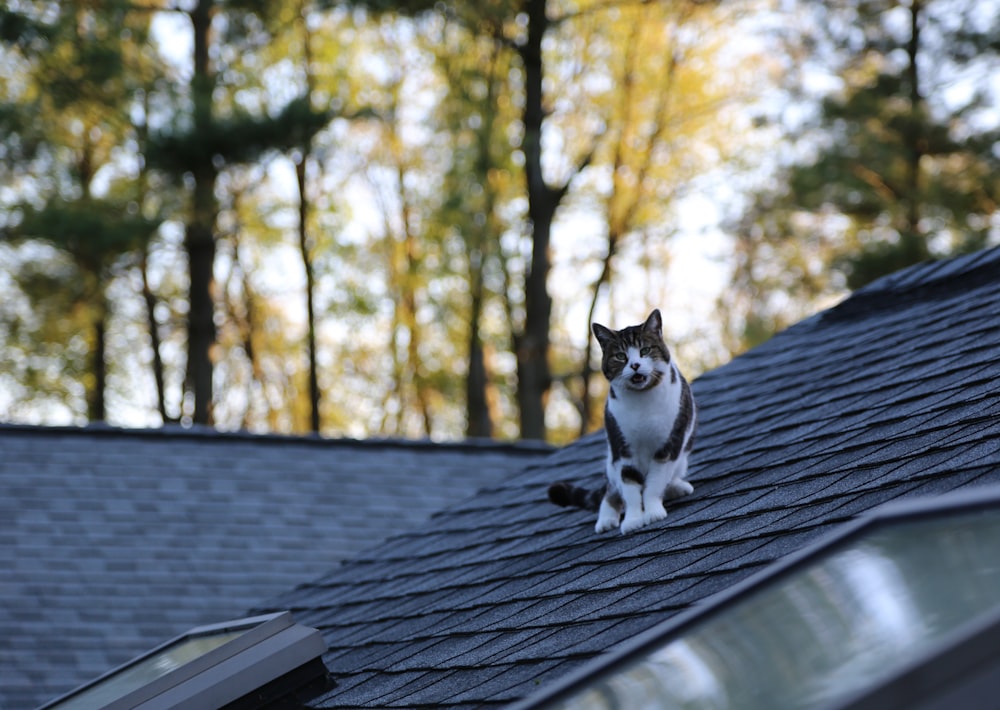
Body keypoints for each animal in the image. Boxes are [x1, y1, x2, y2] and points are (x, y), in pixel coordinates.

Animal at [548, 308, 696, 536]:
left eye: (645, 350)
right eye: (620, 356)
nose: (634, 365)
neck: (642, 401)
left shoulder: (669, 444)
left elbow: (655, 483)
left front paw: (653, 512)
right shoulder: (621, 448)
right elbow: (630, 486)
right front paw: (633, 520)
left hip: (681, 458)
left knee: (668, 477)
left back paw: (678, 488)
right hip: (611, 460)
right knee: (611, 490)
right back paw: (606, 518)